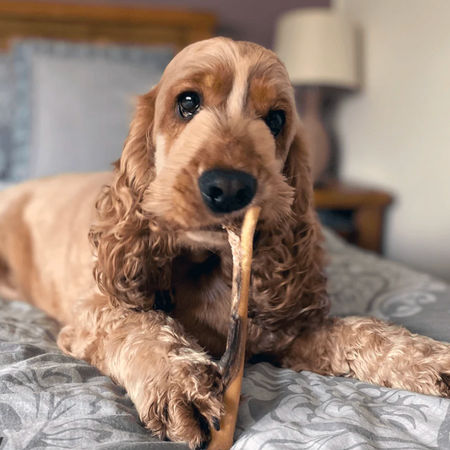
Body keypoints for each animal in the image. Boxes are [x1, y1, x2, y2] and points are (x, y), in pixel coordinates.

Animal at [0, 37, 450, 446]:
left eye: (276, 119)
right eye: (187, 102)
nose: (230, 187)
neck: (209, 262)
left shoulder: (284, 334)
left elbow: (360, 330)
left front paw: (426, 358)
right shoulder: (95, 314)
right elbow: (139, 324)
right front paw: (179, 384)